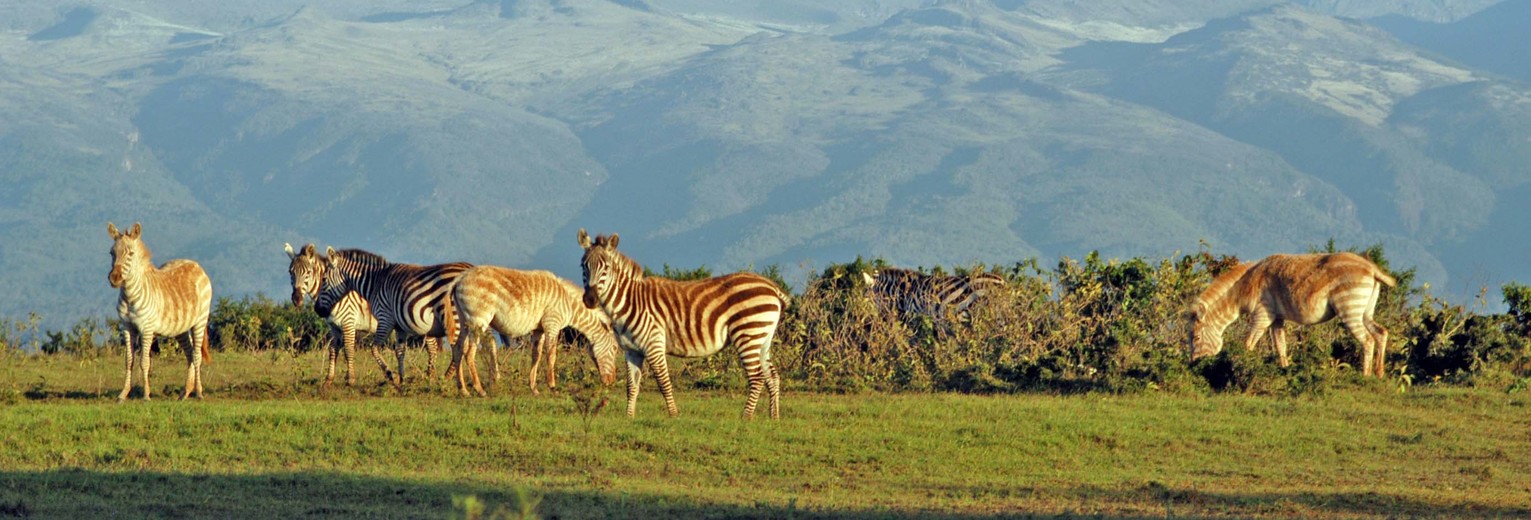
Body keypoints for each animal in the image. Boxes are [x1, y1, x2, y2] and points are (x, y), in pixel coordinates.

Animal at [107, 222, 213, 401]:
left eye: (131, 253)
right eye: (111, 253)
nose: (115, 278)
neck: (130, 296)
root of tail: (195, 264)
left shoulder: (147, 328)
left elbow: (144, 362)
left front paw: (146, 396)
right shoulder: (127, 327)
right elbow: (129, 361)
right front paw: (123, 394)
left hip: (200, 321)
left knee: (197, 355)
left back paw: (198, 393)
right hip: (181, 328)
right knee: (190, 354)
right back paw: (185, 393)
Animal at [319, 247, 469, 386]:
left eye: (324, 279)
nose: (318, 309)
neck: (376, 283)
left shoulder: (384, 319)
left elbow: (373, 348)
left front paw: (390, 375)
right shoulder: (399, 326)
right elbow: (400, 351)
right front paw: (402, 379)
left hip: (452, 318)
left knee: (458, 348)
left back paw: (446, 377)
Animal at [450, 265, 620, 396]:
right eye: (615, 348)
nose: (611, 381)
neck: (568, 303)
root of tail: (459, 279)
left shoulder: (539, 329)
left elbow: (536, 356)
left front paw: (534, 388)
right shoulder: (552, 323)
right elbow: (551, 355)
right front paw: (552, 387)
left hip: (465, 320)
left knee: (458, 349)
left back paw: (463, 390)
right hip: (478, 321)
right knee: (469, 353)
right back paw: (480, 390)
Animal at [577, 229, 789, 419]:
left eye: (606, 267)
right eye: (583, 266)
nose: (590, 299)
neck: (629, 301)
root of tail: (772, 286)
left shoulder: (654, 345)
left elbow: (663, 382)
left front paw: (673, 415)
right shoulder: (631, 351)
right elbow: (632, 386)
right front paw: (629, 417)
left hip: (748, 333)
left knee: (757, 377)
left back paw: (746, 417)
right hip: (762, 338)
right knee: (772, 375)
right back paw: (774, 417)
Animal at [1188, 252, 1396, 376]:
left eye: (1196, 337)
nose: (1192, 365)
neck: (1247, 286)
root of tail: (1372, 269)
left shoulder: (1262, 314)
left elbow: (1248, 344)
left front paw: (1240, 367)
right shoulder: (1276, 318)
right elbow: (1281, 347)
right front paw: (1284, 371)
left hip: (1350, 308)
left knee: (1367, 339)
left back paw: (1365, 375)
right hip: (1364, 311)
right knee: (1381, 333)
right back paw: (1379, 374)